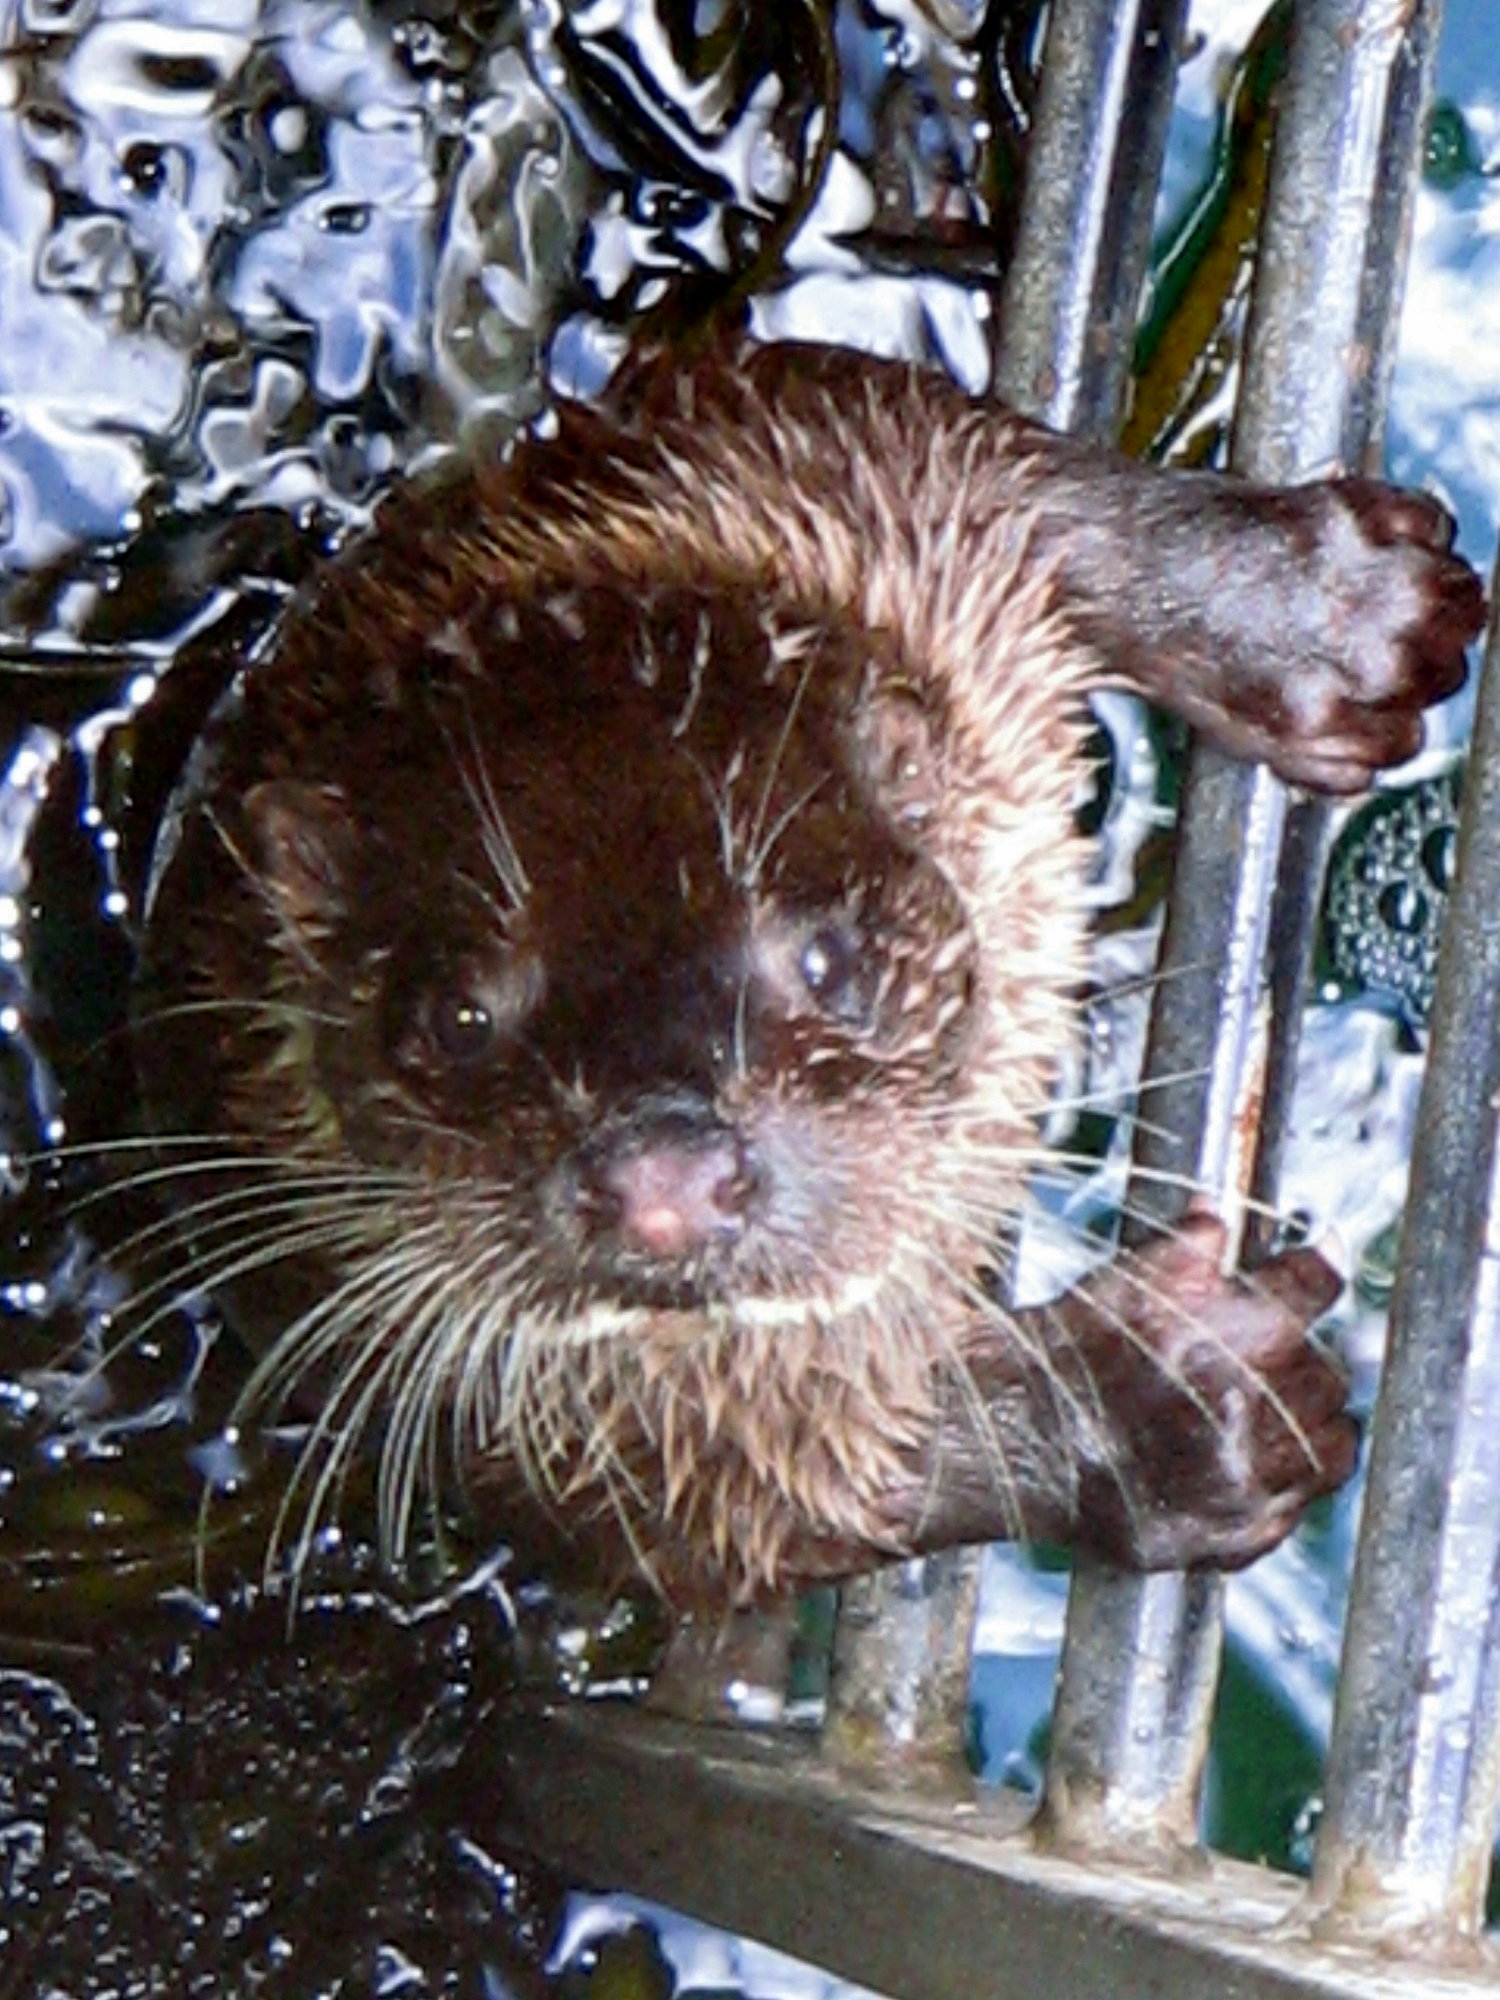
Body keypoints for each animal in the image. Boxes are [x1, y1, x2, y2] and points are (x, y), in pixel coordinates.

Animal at [131, 340, 1484, 1606]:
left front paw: (1327, 612)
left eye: (829, 955)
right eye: (460, 1016)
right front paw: (1185, 1402)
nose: (664, 1172)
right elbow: (796, 1505)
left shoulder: (805, 444)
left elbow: (1037, 480)